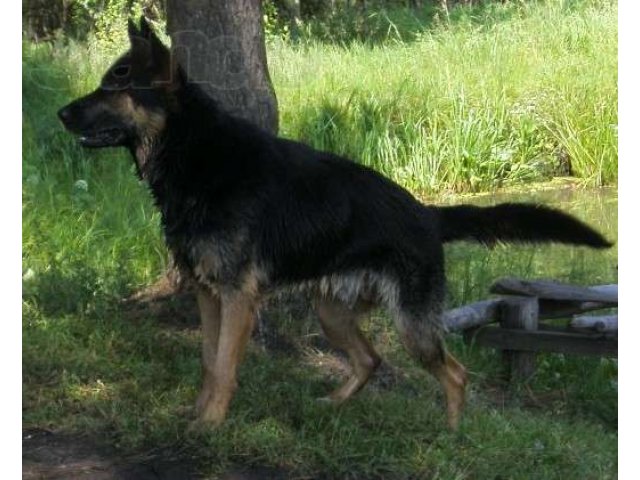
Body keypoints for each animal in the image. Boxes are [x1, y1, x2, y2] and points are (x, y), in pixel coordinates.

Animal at [57, 17, 612, 432]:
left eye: (114, 83)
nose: (61, 113)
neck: (194, 153)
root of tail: (427, 214)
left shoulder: (235, 299)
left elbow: (225, 368)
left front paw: (209, 426)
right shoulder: (208, 295)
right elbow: (209, 363)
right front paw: (196, 416)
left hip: (411, 326)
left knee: (455, 375)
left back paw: (451, 434)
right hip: (332, 314)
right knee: (370, 360)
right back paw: (332, 406)